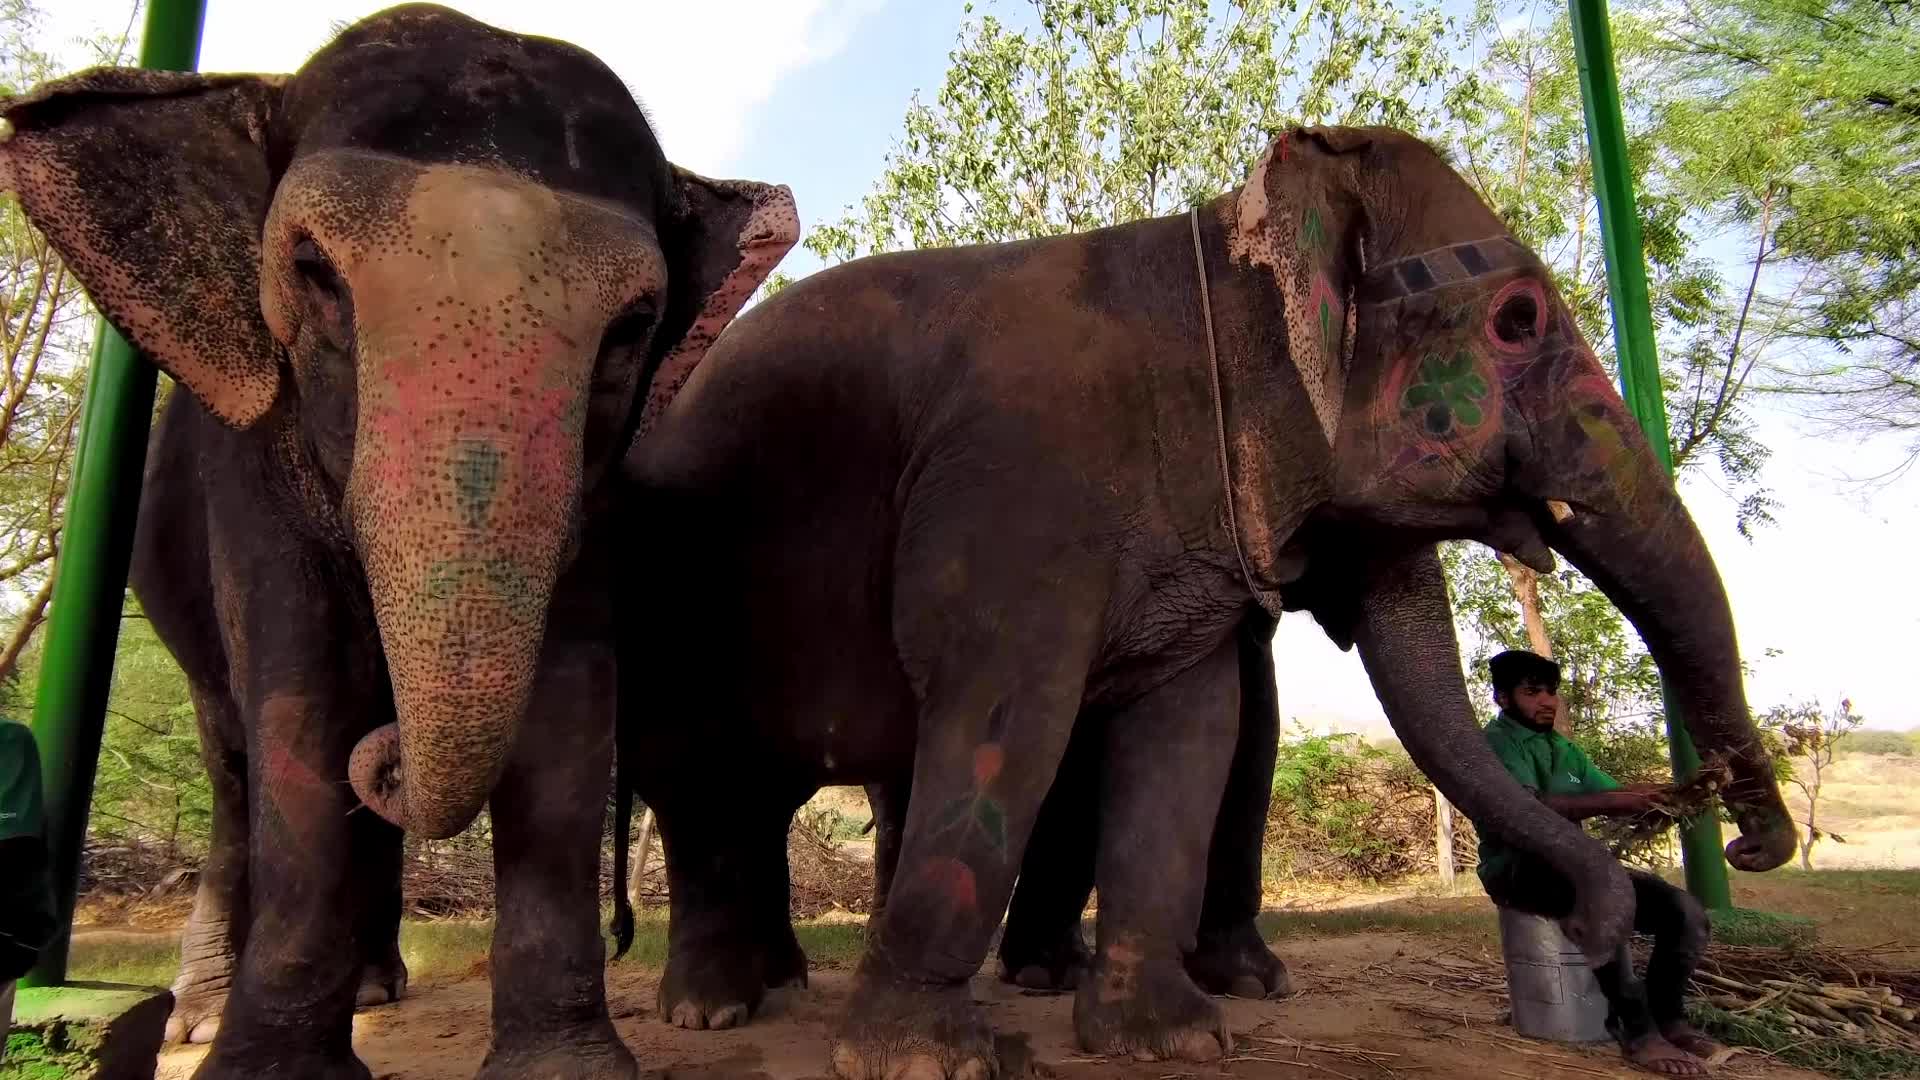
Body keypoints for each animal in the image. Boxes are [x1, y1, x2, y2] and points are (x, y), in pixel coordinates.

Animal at [0, 5, 796, 1077]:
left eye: (634, 324)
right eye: (313, 274)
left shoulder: (597, 492)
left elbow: (568, 708)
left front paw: (564, 1069)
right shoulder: (251, 464)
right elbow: (301, 696)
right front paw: (267, 1071)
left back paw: (373, 985)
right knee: (233, 765)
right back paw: (202, 1017)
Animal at [609, 121, 1795, 1080]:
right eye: (1517, 321)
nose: (1742, 842)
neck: (1227, 246)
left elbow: (1194, 732)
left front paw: (1172, 1038)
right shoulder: (1016, 492)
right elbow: (1010, 716)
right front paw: (927, 1063)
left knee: (752, 800)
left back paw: (781, 984)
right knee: (704, 792)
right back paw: (714, 1010)